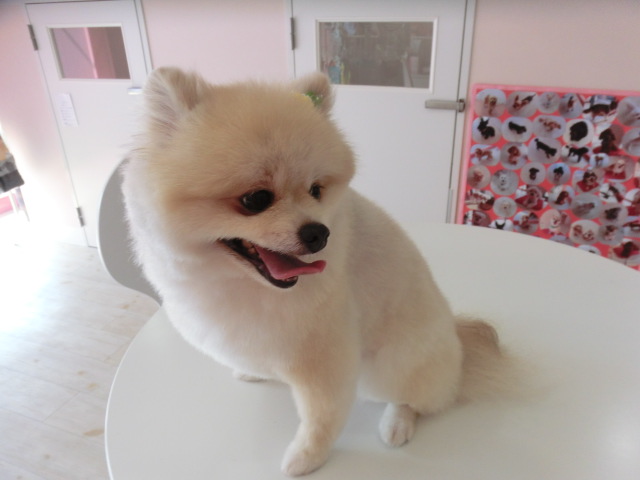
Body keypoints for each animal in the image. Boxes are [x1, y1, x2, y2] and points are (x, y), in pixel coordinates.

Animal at [122, 68, 511, 476]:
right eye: (256, 199)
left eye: (315, 190)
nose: (318, 233)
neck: (237, 283)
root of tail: (458, 339)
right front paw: (254, 371)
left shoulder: (325, 357)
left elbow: (321, 418)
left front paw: (307, 457)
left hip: (394, 364)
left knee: (419, 398)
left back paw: (397, 422)